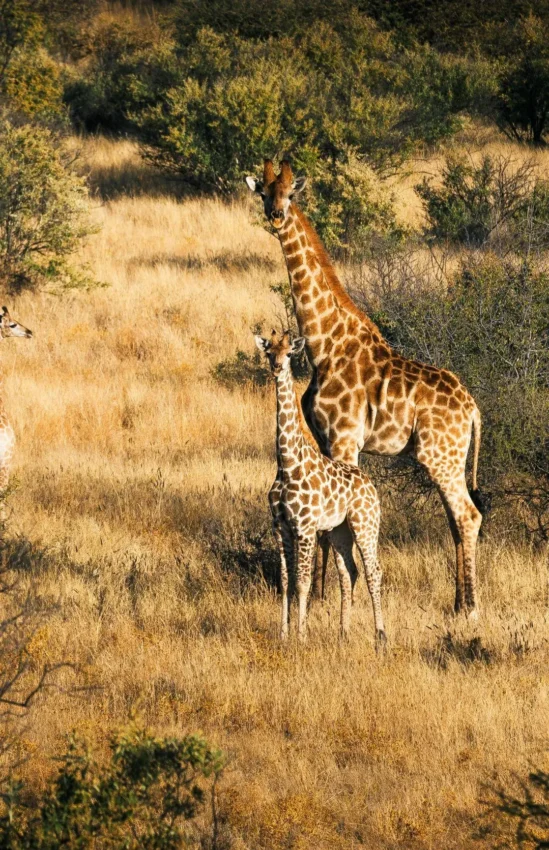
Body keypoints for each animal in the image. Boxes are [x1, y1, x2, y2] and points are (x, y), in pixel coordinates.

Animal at [256, 329, 385, 645]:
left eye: (289, 353)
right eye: (269, 352)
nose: (276, 368)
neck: (287, 462)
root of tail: (371, 485)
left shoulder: (305, 527)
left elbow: (302, 582)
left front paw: (301, 636)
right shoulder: (280, 527)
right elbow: (286, 580)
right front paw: (284, 634)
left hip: (365, 524)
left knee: (373, 571)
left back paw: (380, 637)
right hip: (339, 530)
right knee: (349, 572)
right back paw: (343, 634)